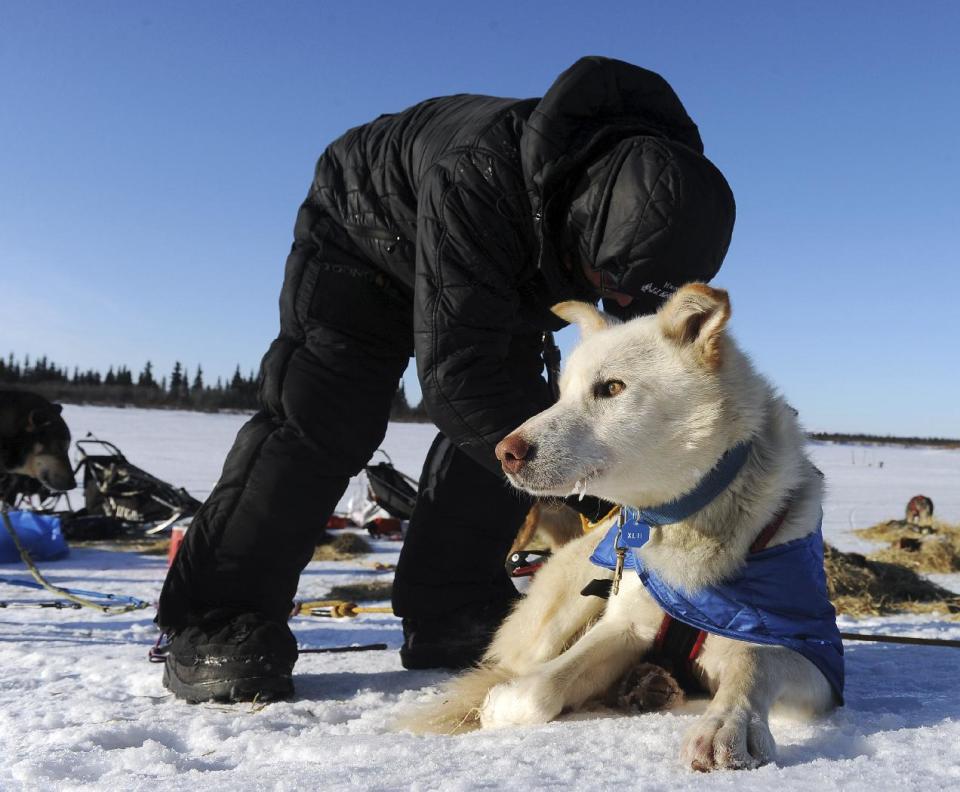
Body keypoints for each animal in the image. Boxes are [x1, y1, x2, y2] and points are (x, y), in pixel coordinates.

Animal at [404, 286, 840, 772]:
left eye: (612, 388)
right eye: (560, 394)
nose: (505, 452)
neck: (687, 519)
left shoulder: (812, 652)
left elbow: (752, 660)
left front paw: (730, 724)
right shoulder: (626, 623)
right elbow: (539, 688)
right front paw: (504, 704)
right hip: (569, 602)